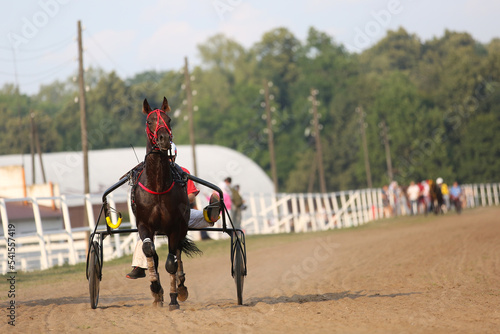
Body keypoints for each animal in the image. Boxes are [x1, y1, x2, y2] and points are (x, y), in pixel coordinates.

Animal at [135, 96, 201, 310]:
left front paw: (173, 297)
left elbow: (172, 262)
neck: (157, 186)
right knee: (154, 255)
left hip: (182, 226)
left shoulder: (174, 226)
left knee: (178, 252)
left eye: (169, 119)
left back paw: (180, 287)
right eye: (149, 121)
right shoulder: (144, 225)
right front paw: (156, 290)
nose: (164, 138)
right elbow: (149, 252)